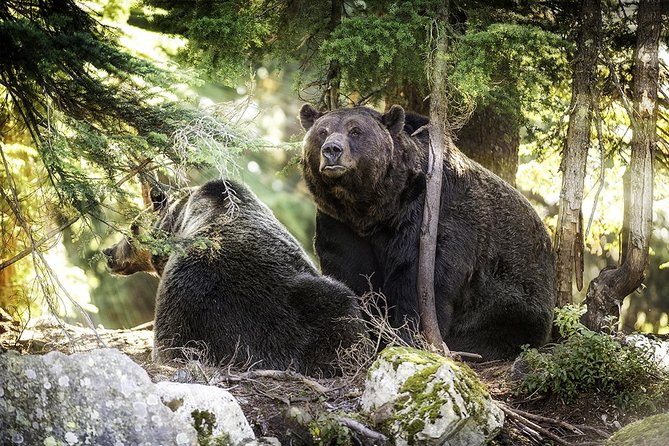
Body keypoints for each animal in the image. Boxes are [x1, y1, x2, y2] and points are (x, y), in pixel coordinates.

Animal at [300, 103, 556, 358]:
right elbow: (351, 274)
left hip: (511, 289)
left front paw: (408, 336)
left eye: (355, 131)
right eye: (322, 131)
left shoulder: (428, 216)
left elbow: (418, 279)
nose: (332, 149)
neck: (374, 209)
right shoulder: (340, 225)